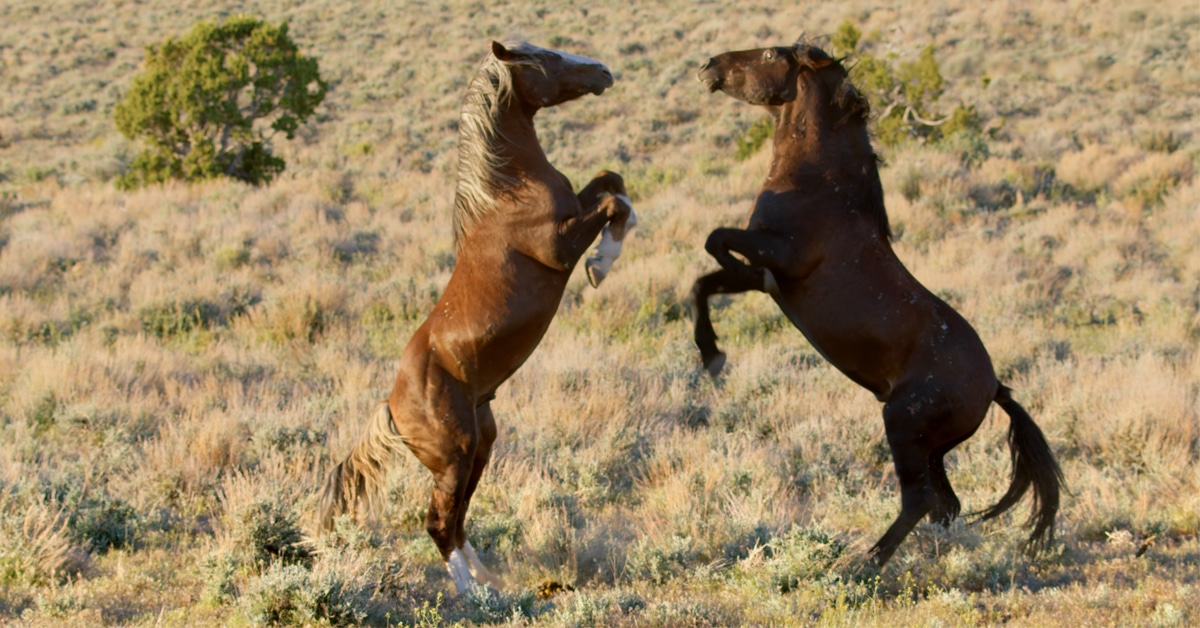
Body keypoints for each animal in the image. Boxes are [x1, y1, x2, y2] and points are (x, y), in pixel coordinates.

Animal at [318, 41, 633, 594]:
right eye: (544, 57)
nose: (602, 71)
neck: (506, 191)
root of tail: (392, 408)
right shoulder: (560, 245)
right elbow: (613, 201)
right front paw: (601, 264)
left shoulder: (575, 208)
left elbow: (611, 180)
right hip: (454, 455)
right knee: (438, 523)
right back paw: (470, 594)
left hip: (481, 446)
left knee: (460, 519)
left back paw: (490, 582)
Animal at [691, 43, 1062, 565]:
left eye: (767, 53)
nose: (709, 67)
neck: (819, 185)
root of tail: (994, 388)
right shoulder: (772, 281)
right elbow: (704, 284)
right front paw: (712, 354)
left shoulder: (779, 255)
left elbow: (716, 241)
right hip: (932, 449)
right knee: (945, 505)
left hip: (904, 430)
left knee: (920, 500)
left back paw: (863, 564)